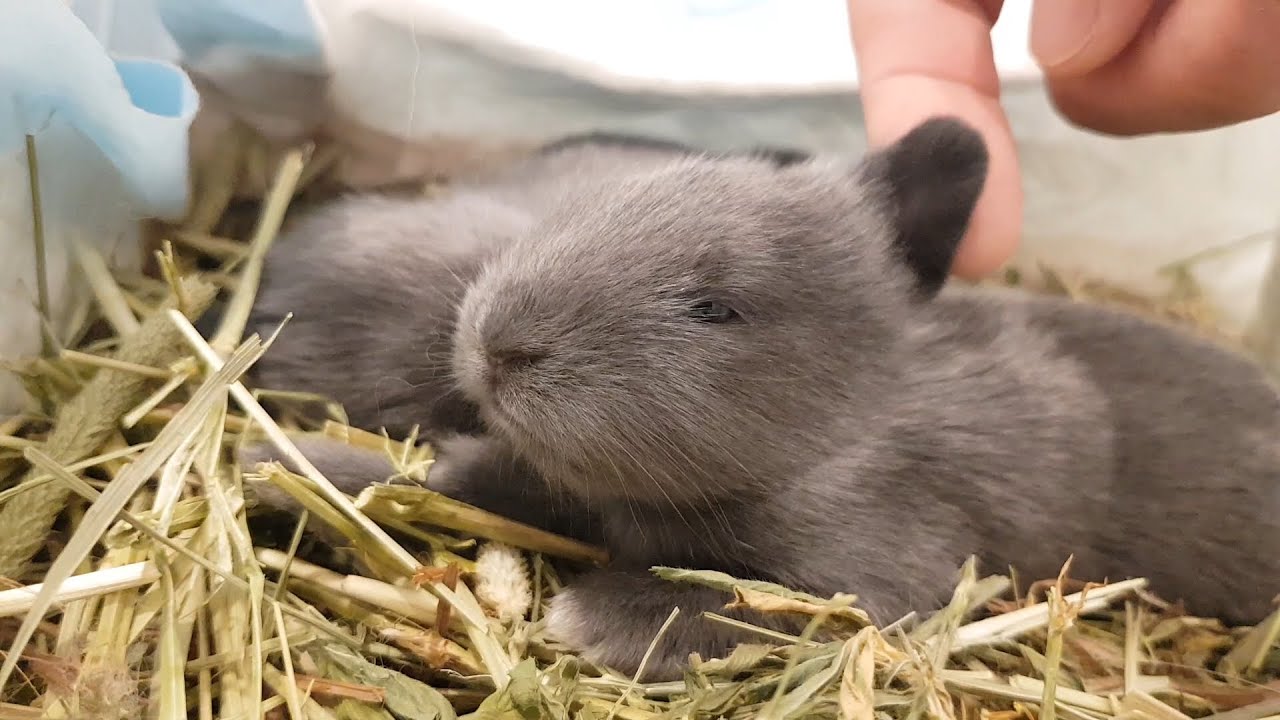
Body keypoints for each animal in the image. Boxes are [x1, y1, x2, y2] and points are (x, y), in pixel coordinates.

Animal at [243, 117, 1280, 681]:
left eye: (715, 307)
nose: (497, 343)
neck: (830, 429)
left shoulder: (865, 578)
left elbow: (737, 601)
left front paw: (593, 619)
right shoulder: (521, 482)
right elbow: (432, 480)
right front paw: (276, 462)